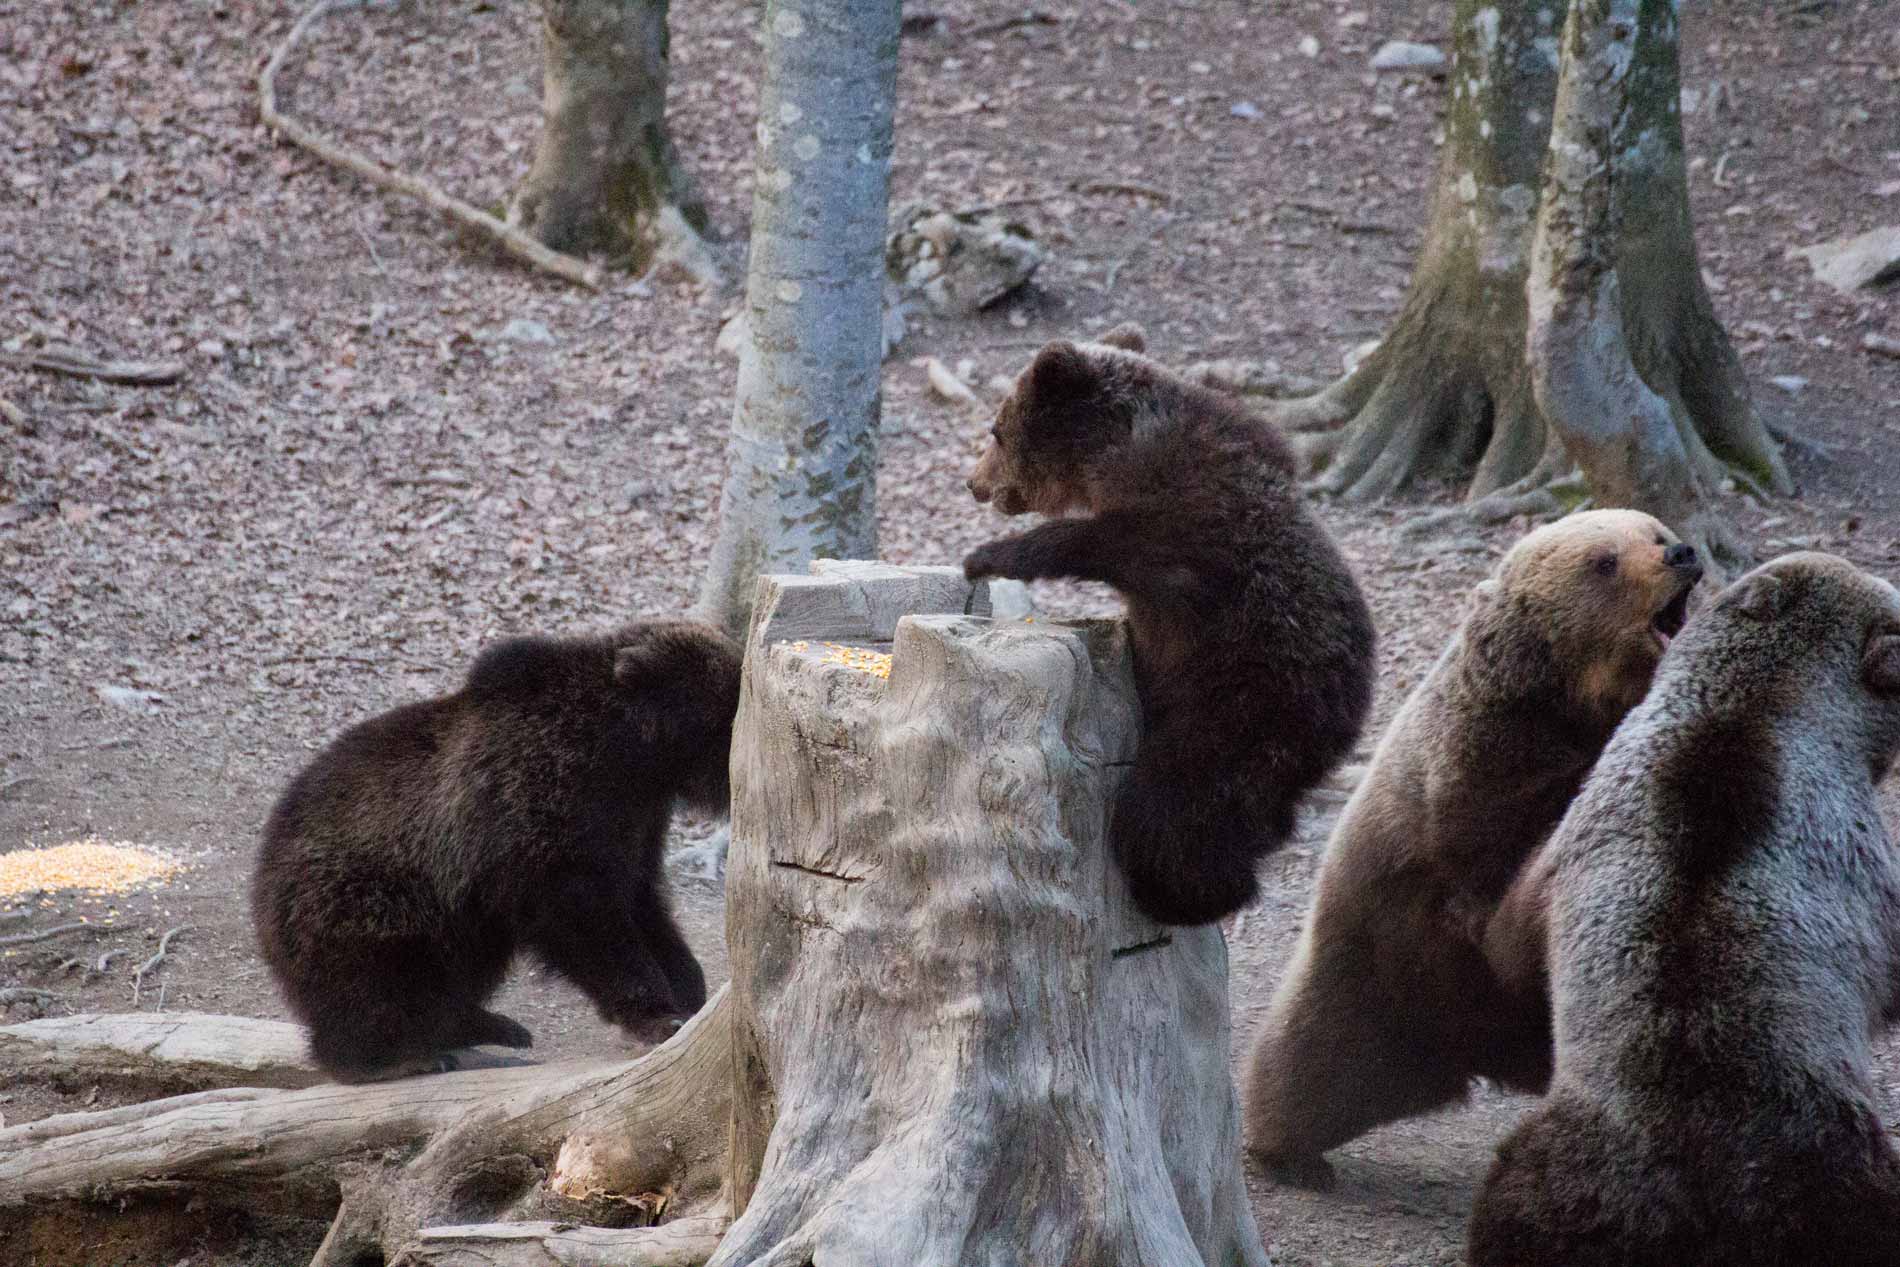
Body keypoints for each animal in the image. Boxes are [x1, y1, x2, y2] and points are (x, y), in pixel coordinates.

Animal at [245, 619, 733, 1086]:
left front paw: (690, 986)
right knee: (379, 983)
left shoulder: (638, 820)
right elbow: (586, 919)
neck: (631, 755)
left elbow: (642, 899)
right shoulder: (546, 808)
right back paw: (399, 1056)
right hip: (371, 897)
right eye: (728, 712)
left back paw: (487, 1025)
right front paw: (657, 1014)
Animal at [957, 322, 1375, 926]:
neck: (1116, 455)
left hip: (1243, 704)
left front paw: (986, 555)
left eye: (996, 429)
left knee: (1169, 806)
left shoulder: (1188, 529)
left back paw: (1189, 893)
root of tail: (1351, 714)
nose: (974, 483)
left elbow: (1098, 542)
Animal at [1238, 509, 1702, 1192]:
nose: (1682, 553)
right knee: (1309, 1065)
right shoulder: (1478, 781)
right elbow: (1502, 879)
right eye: (1604, 560)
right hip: (1375, 974)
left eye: (1654, 529)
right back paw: (1288, 1154)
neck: (1573, 705)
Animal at [1474, 554, 1900, 1267]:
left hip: (1576, 1180)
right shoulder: (1858, 854)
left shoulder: (1577, 830)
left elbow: (1511, 937)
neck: (1750, 706)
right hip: (1810, 1154)